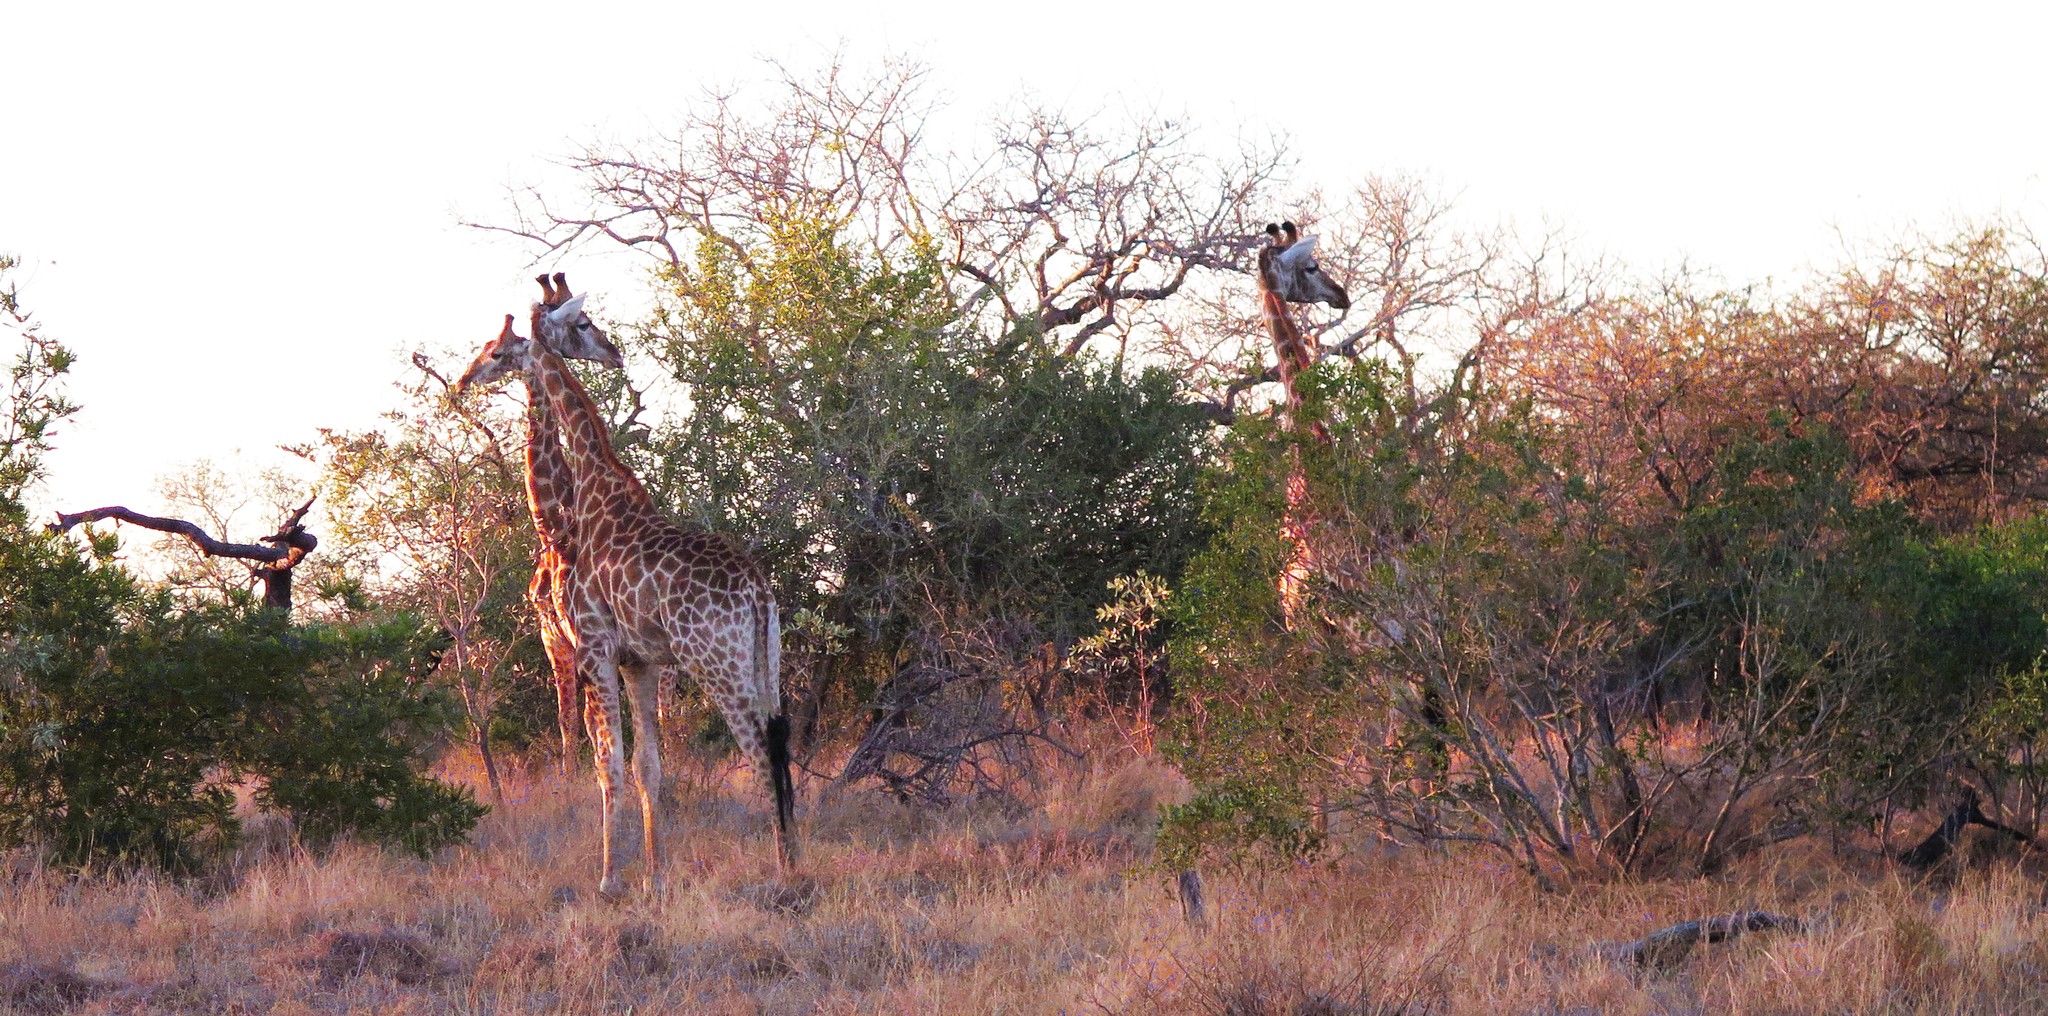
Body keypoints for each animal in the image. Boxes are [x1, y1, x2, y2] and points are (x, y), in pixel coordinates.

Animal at [462, 274, 790, 893]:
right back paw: (792, 856)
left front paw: (610, 880)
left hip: (715, 662)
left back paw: (785, 874)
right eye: (585, 325)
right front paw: (654, 879)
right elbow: (648, 767)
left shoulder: (594, 645)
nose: (466, 379)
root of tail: (759, 593)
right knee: (782, 743)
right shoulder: (641, 660)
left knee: (759, 751)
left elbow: (608, 765)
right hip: (763, 660)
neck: (591, 492)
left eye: (496, 351)